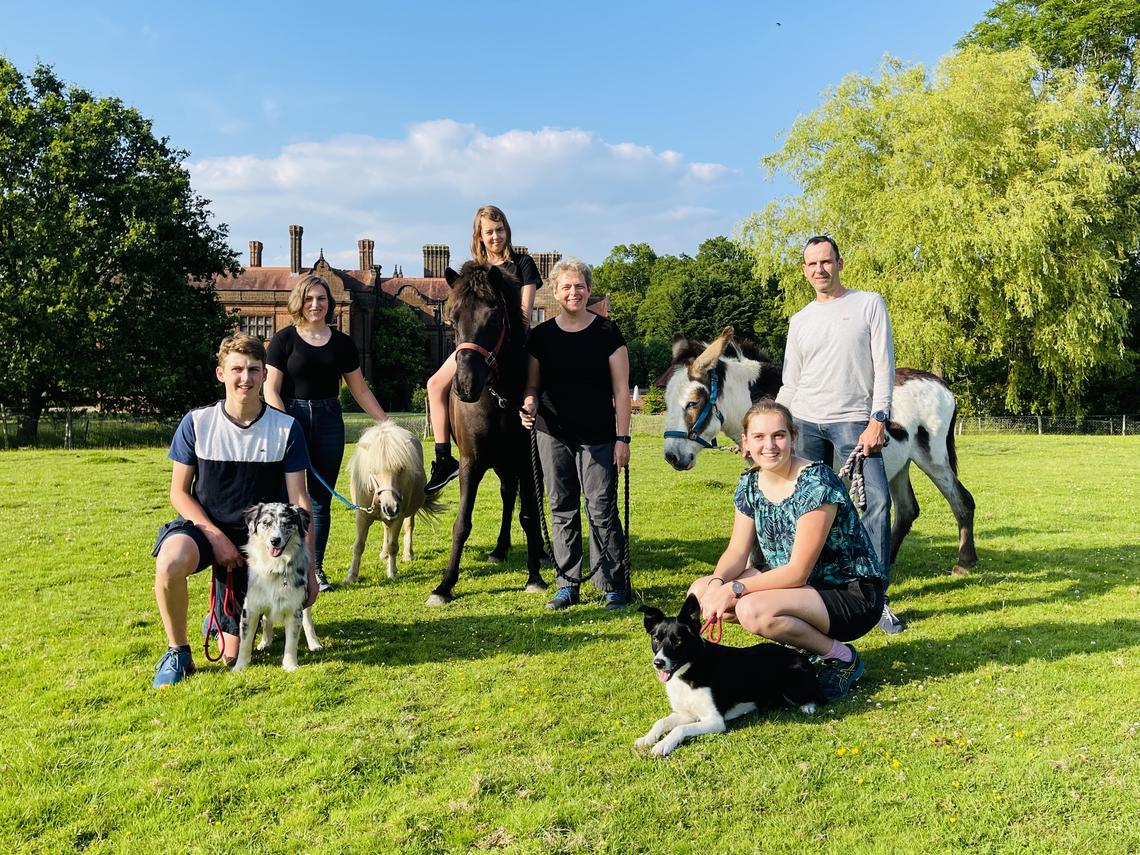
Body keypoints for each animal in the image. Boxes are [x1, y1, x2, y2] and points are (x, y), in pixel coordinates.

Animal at [231, 501, 321, 674]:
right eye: (266, 523)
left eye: (286, 523)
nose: (275, 540)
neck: (274, 567)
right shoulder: (250, 608)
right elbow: (245, 642)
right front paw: (240, 666)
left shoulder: (294, 609)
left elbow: (291, 643)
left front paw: (290, 665)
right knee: (266, 619)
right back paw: (265, 642)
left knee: (307, 620)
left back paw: (314, 643)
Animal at [428, 264, 549, 606]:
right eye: (453, 319)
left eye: (493, 319)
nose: (466, 385)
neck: (498, 399)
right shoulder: (472, 462)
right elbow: (461, 522)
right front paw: (444, 586)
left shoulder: (525, 461)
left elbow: (529, 515)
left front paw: (535, 577)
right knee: (508, 494)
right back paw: (500, 548)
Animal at [638, 597, 825, 756]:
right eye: (656, 639)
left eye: (678, 641)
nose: (658, 663)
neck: (689, 671)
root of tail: (803, 657)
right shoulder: (687, 714)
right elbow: (661, 721)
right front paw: (647, 738)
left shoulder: (715, 721)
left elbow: (681, 729)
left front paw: (663, 744)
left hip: (790, 680)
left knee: (817, 697)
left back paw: (808, 706)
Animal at [665, 328, 975, 576]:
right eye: (667, 402)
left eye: (693, 402)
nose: (671, 456)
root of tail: (939, 382)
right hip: (899, 463)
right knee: (908, 509)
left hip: (933, 458)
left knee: (962, 501)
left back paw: (964, 563)